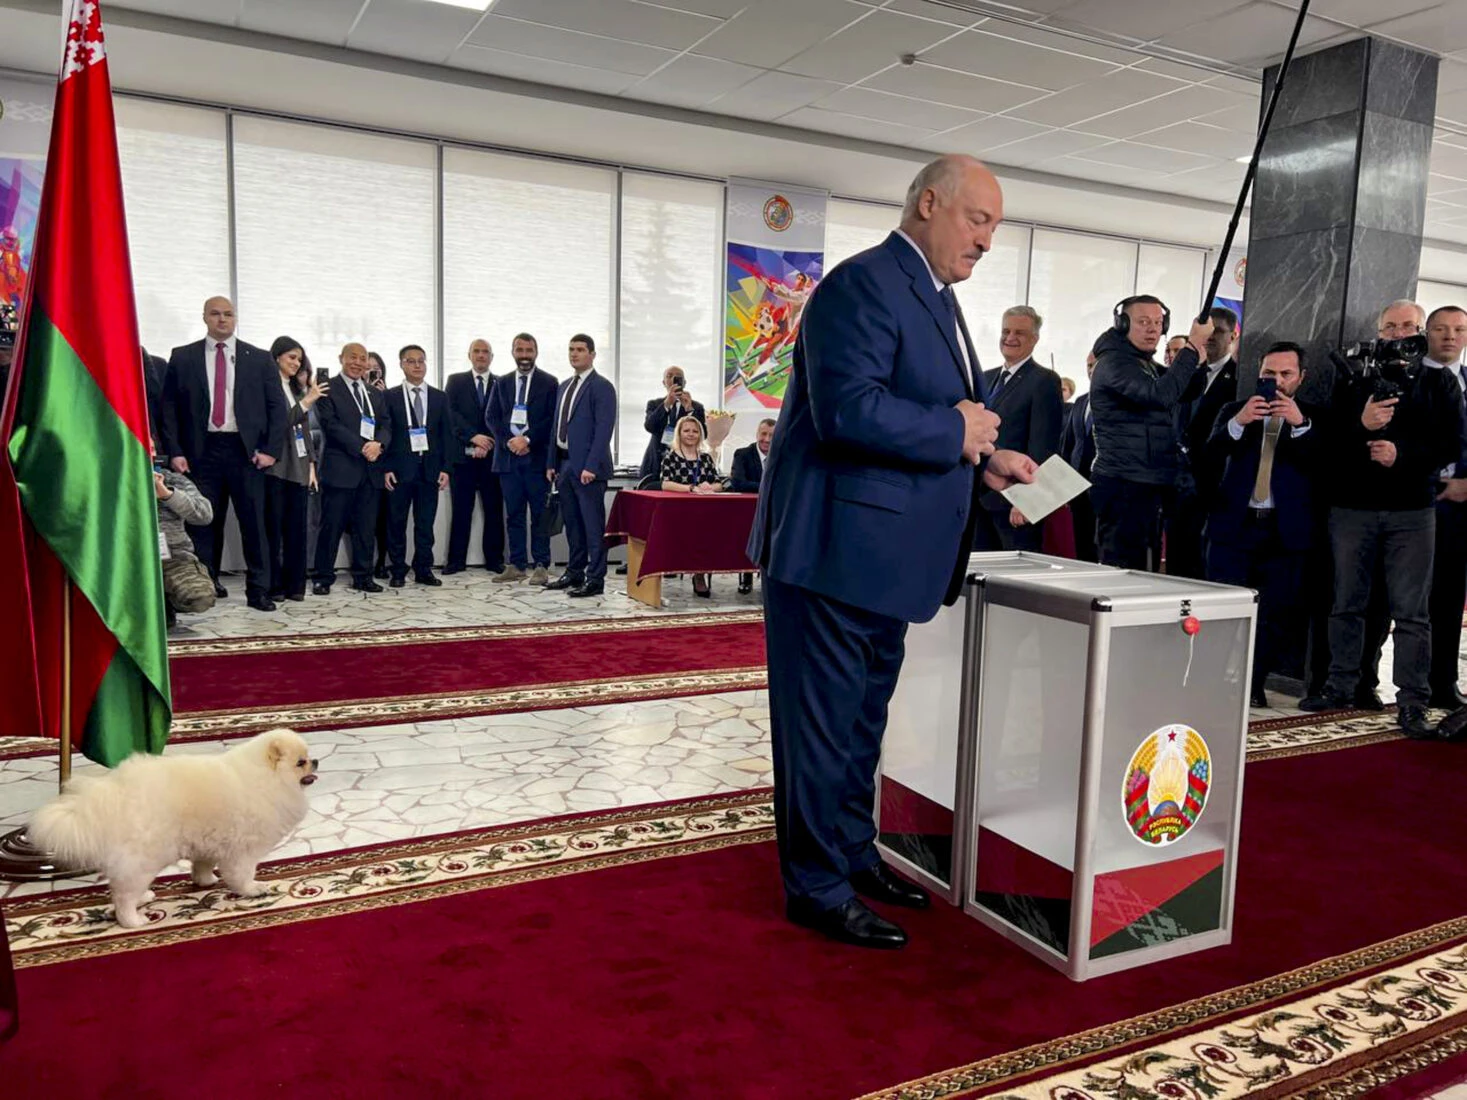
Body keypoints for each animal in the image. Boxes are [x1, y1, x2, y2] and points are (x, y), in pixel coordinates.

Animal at [26, 733, 318, 932]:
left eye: (308, 756)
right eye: (300, 762)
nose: (315, 761)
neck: (267, 780)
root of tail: (113, 794)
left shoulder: (209, 843)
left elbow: (202, 865)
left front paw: (205, 881)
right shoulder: (243, 849)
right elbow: (242, 875)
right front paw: (254, 889)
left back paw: (144, 898)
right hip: (144, 857)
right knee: (123, 895)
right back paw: (133, 920)